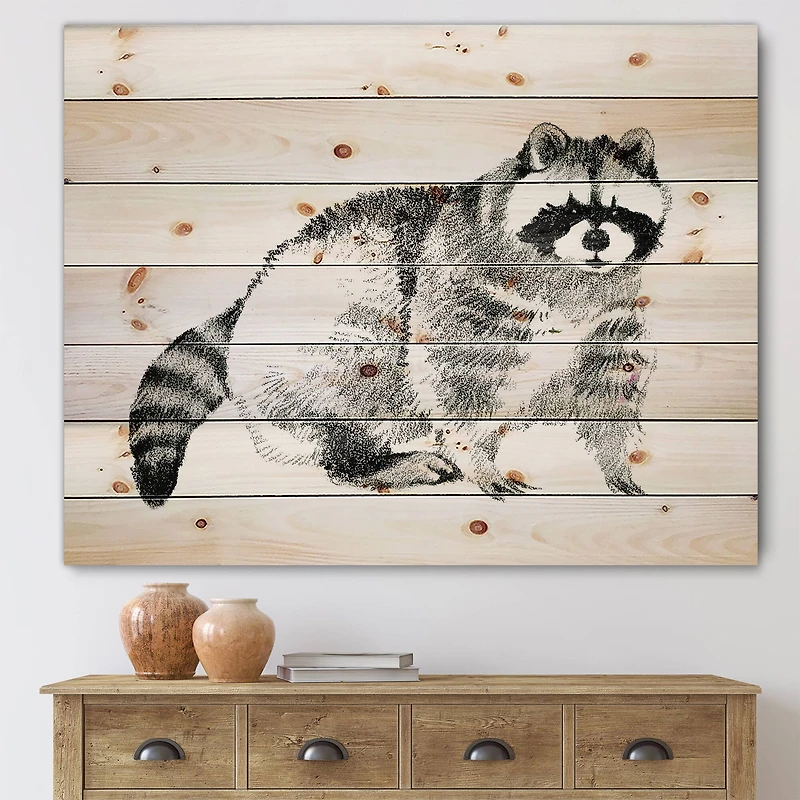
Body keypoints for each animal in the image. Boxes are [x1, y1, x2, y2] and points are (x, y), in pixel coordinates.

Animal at [129, 123, 671, 506]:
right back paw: (369, 461)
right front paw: (484, 468)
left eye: (619, 211)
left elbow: (612, 387)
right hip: (325, 343)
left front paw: (619, 467)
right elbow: (458, 391)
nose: (596, 240)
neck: (570, 274)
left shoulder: (613, 317)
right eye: (569, 209)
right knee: (356, 379)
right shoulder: (458, 294)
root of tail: (248, 302)